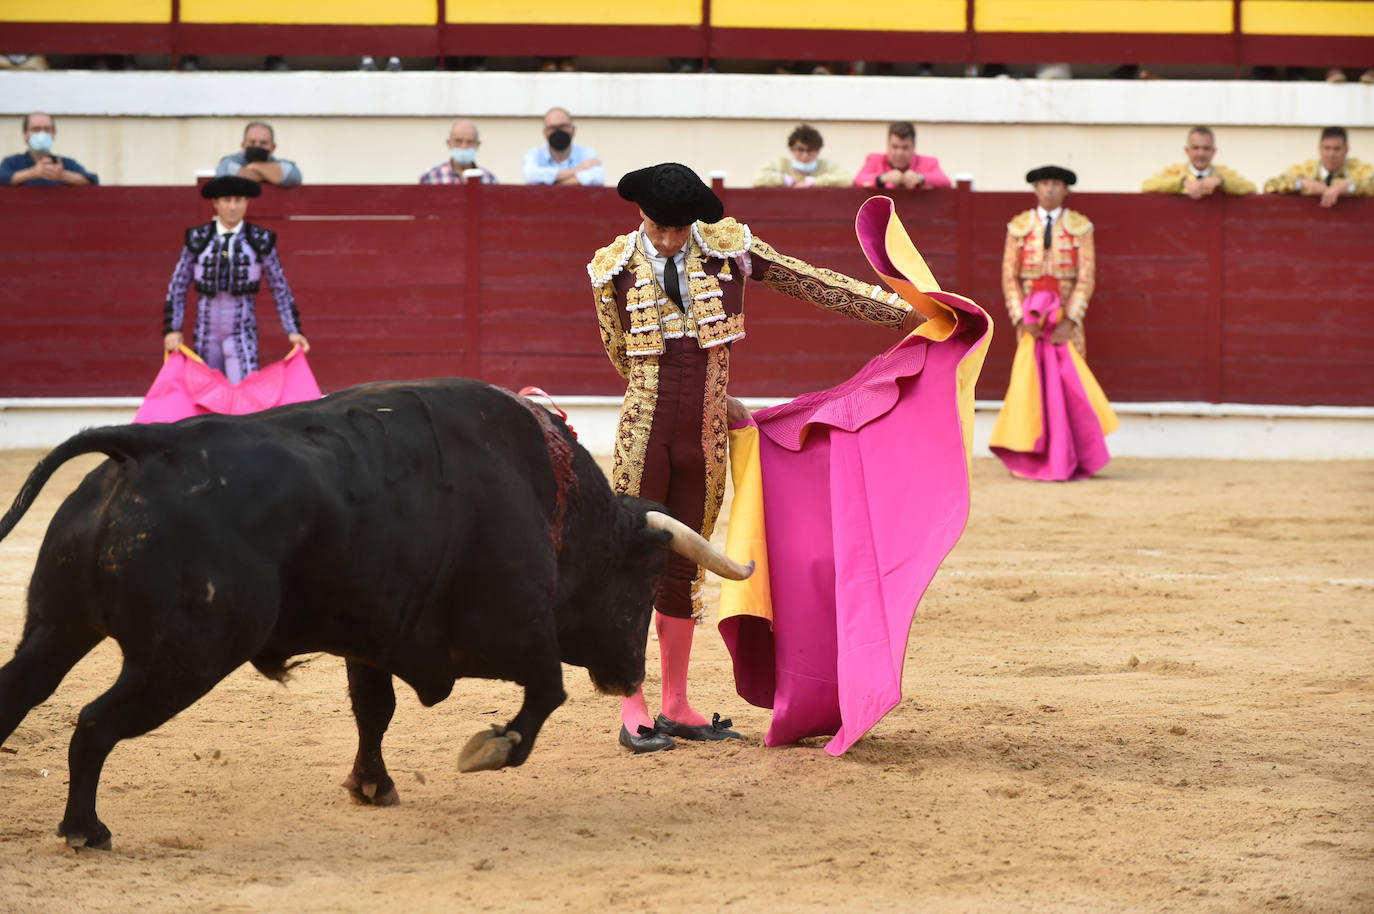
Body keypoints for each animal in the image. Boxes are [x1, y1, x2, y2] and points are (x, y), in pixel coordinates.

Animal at [0, 376, 752, 846]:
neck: (556, 502)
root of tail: (147, 448)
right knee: (94, 722)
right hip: (185, 655)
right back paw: (85, 830)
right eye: (644, 579)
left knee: (20, 690)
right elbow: (545, 693)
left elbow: (374, 710)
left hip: (57, 625)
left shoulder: (372, 638)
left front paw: (372, 785)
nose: (628, 676)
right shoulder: (508, 631)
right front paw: (488, 749)